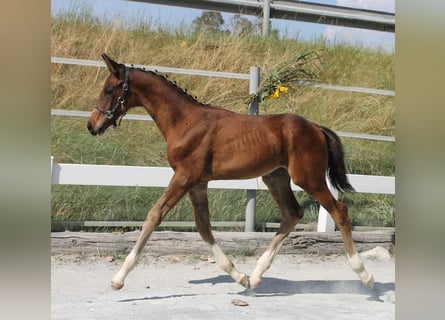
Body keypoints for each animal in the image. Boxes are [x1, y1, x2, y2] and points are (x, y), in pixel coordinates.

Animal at [86, 54, 372, 290]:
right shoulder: (197, 183)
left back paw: (364, 275)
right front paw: (239, 276)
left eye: (109, 89)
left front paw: (118, 278)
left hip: (308, 178)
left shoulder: (184, 177)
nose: (92, 125)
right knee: (293, 213)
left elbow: (154, 216)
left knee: (339, 210)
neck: (185, 121)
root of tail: (315, 127)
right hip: (275, 177)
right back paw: (256, 275)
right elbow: (203, 227)